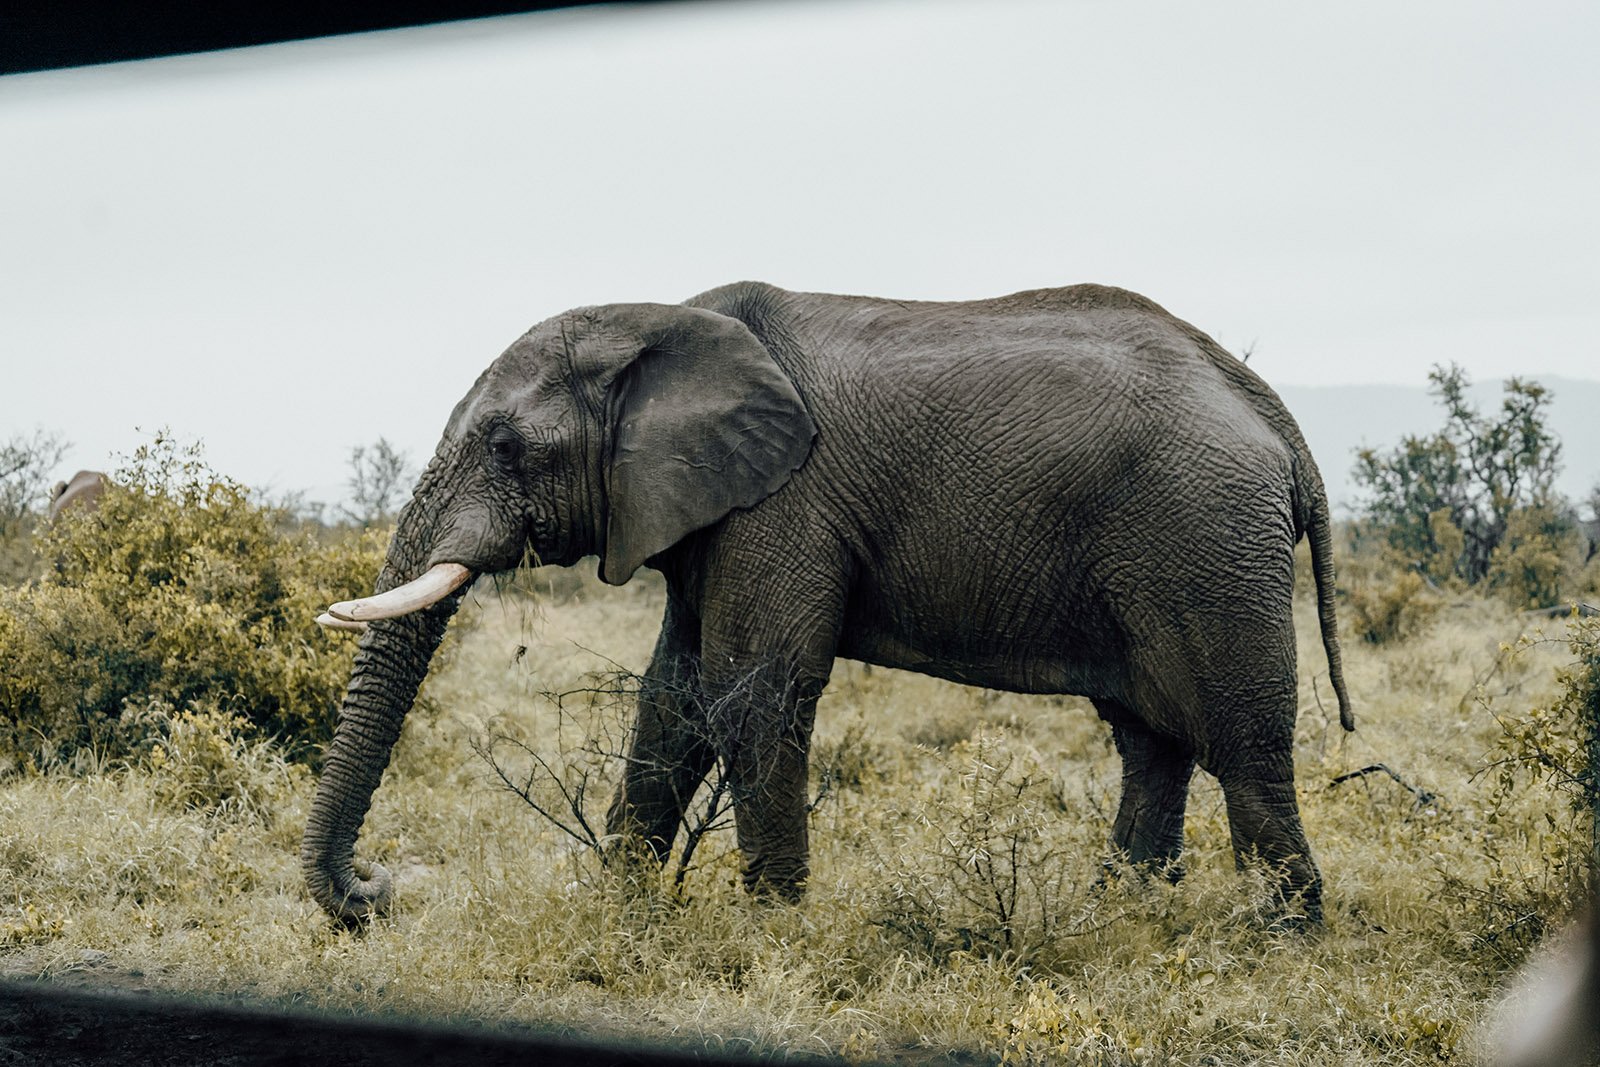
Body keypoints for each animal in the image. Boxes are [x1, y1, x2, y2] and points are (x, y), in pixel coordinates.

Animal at [304, 281, 1354, 925]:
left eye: (507, 447)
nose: (375, 893)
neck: (660, 319)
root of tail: (1272, 413)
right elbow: (673, 699)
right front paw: (623, 912)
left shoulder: (784, 503)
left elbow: (751, 693)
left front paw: (773, 930)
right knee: (1152, 738)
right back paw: (1126, 918)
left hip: (1206, 542)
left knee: (1242, 745)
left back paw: (1278, 939)